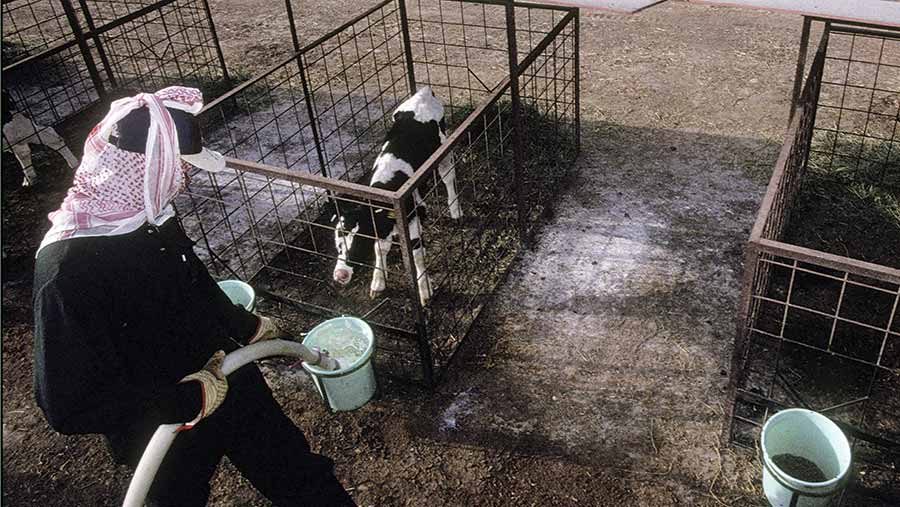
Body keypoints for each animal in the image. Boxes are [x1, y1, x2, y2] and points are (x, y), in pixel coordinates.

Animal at [328, 87, 460, 306]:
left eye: (359, 245)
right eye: (338, 244)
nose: (340, 275)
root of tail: (424, 92)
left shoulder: (410, 222)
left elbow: (416, 256)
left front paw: (425, 291)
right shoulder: (382, 227)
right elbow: (381, 249)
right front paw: (378, 283)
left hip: (444, 149)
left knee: (448, 176)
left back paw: (455, 210)